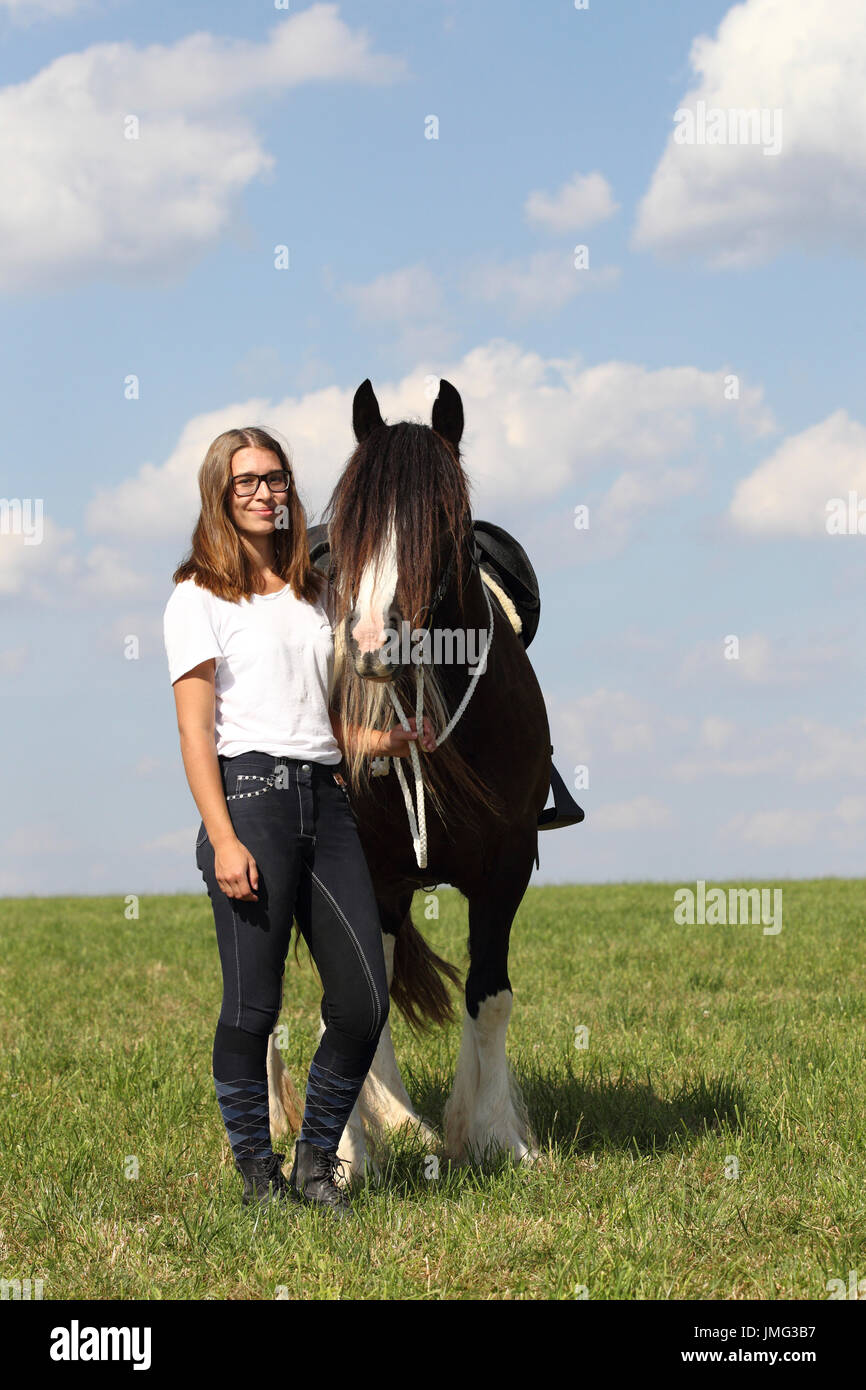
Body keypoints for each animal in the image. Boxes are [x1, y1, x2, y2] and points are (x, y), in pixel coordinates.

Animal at [268, 378, 556, 1173]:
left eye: (444, 522)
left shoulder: (507, 866)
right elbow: (348, 995)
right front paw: (345, 1152)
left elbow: (490, 995)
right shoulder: (350, 868)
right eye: (356, 523)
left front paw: (491, 1135)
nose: (372, 641)